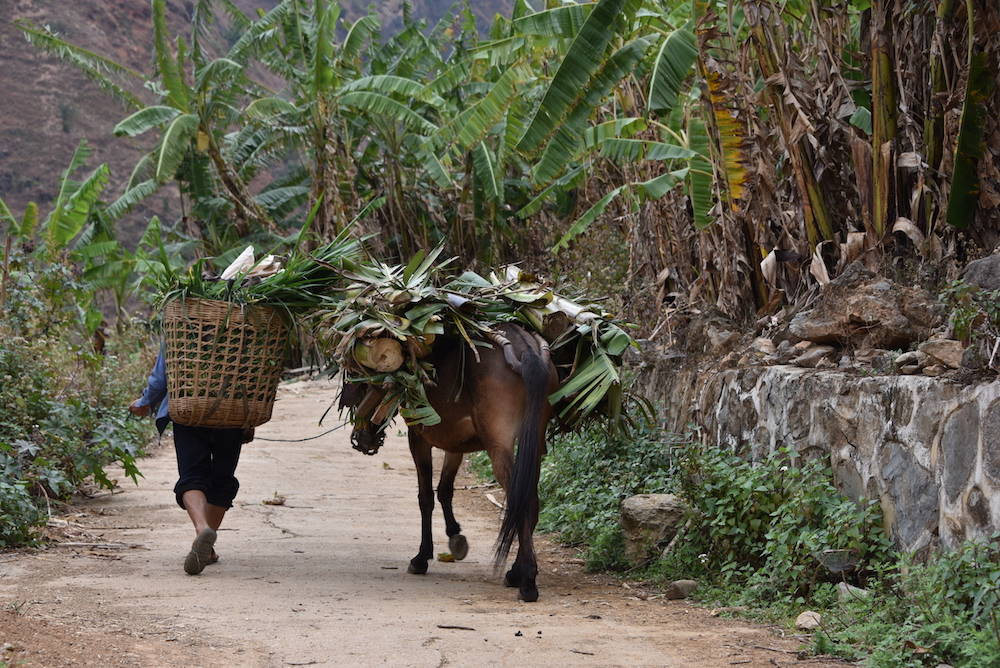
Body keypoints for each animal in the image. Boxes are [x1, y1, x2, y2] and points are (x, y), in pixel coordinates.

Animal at [344, 320, 560, 604]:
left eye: (360, 382)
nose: (361, 439)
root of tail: (525, 348)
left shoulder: (418, 438)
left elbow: (425, 496)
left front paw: (421, 557)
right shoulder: (456, 445)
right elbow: (445, 489)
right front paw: (455, 536)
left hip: (499, 446)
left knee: (520, 501)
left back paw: (528, 583)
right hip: (534, 441)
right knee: (530, 501)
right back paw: (516, 572)